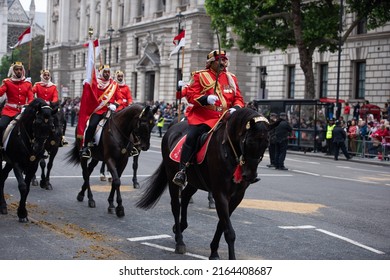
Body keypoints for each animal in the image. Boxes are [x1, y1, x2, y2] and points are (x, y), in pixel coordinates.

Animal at [137, 107, 272, 260]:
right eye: (248, 142)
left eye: (267, 143)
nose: (250, 176)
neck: (229, 151)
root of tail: (172, 128)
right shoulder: (220, 193)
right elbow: (229, 232)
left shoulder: (237, 196)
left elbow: (222, 225)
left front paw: (214, 251)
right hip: (172, 176)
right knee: (176, 206)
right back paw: (180, 241)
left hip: (195, 181)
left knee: (185, 196)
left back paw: (180, 228)